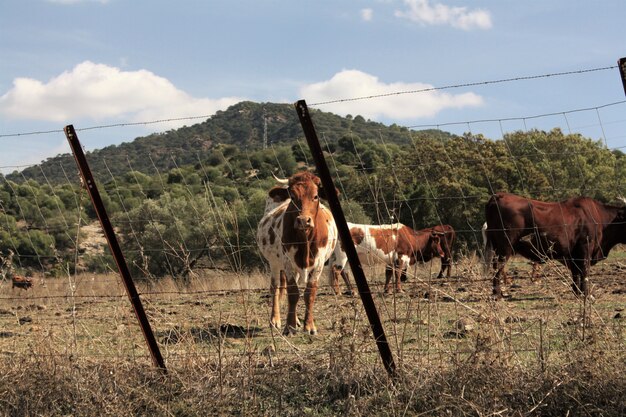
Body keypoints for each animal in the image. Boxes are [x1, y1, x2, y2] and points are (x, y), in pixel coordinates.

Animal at [256, 170, 338, 334]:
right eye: (293, 197)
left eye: (315, 196)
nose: (303, 220)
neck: (304, 240)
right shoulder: (287, 262)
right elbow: (293, 292)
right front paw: (289, 326)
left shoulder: (319, 264)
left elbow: (309, 293)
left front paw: (309, 326)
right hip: (274, 263)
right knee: (275, 287)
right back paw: (275, 320)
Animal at [482, 190, 624, 298]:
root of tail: (499, 195)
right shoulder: (585, 247)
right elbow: (584, 271)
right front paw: (586, 294)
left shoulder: (573, 253)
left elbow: (576, 272)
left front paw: (577, 292)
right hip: (504, 247)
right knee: (498, 267)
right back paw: (498, 294)